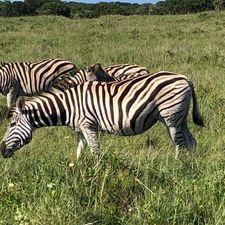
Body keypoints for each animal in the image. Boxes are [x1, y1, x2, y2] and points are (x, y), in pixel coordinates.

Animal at [0, 71, 204, 159]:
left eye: (12, 125)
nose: (1, 150)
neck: (68, 105)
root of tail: (186, 78)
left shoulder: (89, 126)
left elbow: (95, 152)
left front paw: (96, 176)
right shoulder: (79, 130)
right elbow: (79, 152)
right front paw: (78, 173)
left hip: (171, 118)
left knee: (180, 144)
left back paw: (177, 167)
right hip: (179, 118)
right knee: (191, 142)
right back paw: (192, 167)